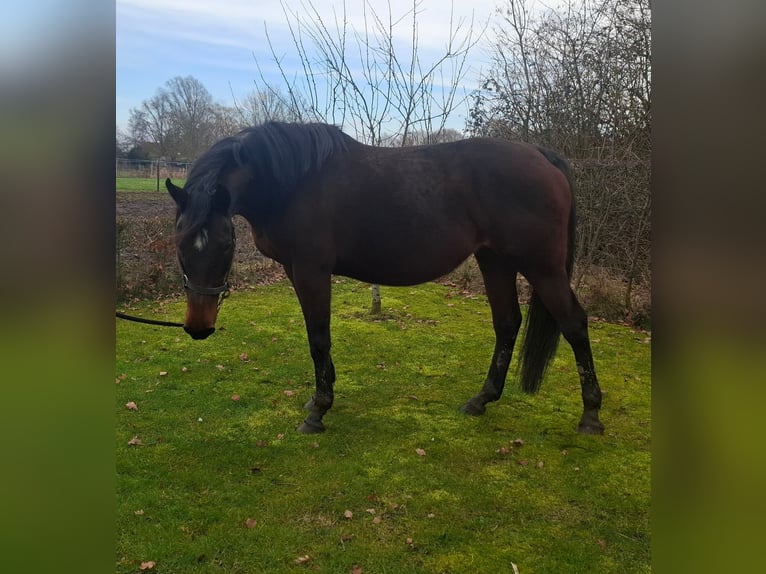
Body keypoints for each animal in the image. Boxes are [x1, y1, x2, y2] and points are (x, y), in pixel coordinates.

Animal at [166, 121, 604, 435]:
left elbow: (318, 338)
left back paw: (591, 416)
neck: (292, 182)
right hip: (494, 260)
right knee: (507, 323)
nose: (198, 327)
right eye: (180, 242)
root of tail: (541, 156)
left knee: (573, 324)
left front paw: (318, 411)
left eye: (225, 244)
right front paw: (318, 399)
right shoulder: (294, 269)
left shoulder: (311, 270)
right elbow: (316, 337)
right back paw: (481, 400)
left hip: (542, 267)